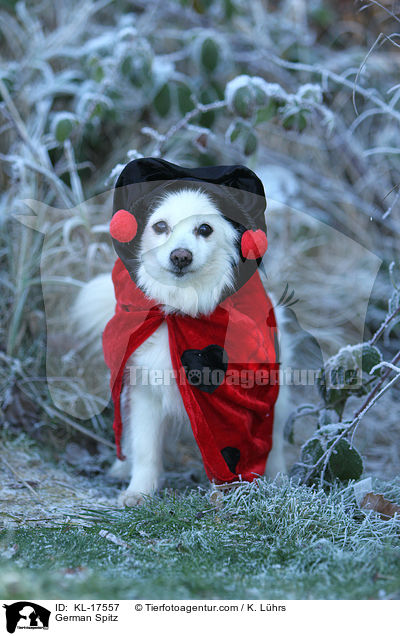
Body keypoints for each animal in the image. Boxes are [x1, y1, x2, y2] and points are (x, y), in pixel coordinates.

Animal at [73, 185, 288, 506]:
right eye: (160, 226)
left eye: (205, 229)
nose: (181, 257)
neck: (180, 309)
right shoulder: (145, 393)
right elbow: (146, 449)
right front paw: (138, 493)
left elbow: (228, 456)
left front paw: (229, 497)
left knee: (275, 447)